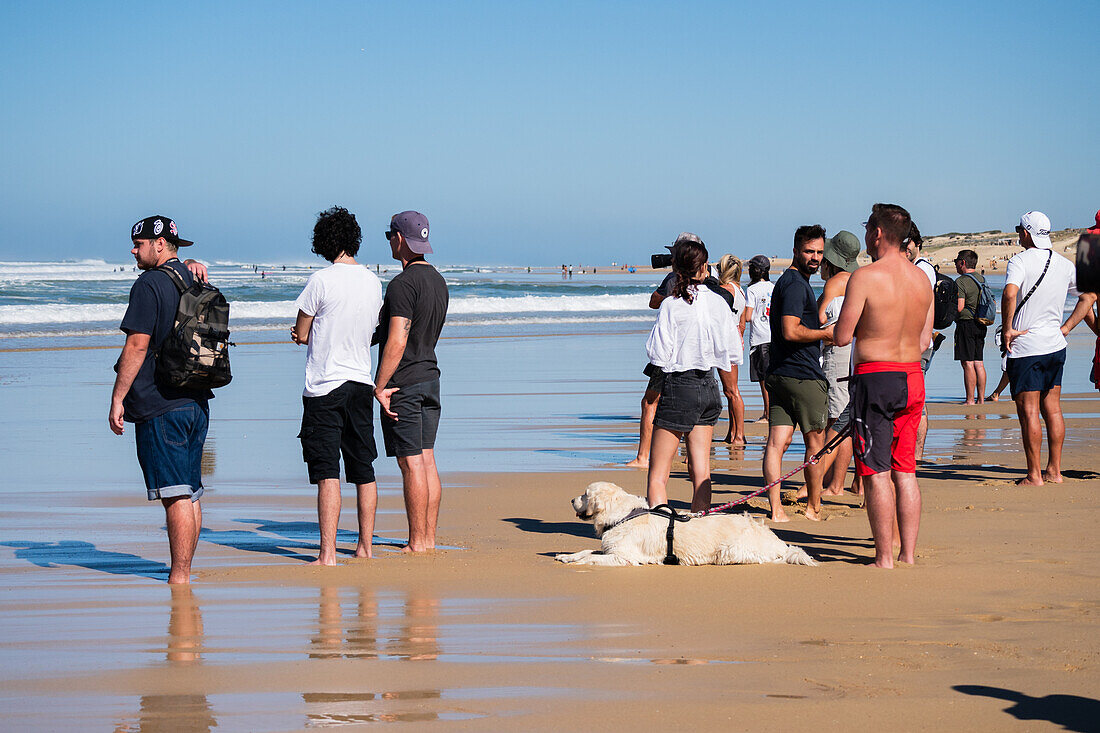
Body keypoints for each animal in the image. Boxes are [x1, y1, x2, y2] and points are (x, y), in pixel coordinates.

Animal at [558, 479, 818, 563]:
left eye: (584, 494)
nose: (570, 499)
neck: (622, 516)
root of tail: (778, 542)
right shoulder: (610, 549)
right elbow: (586, 551)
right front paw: (566, 556)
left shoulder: (624, 558)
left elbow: (591, 558)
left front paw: (577, 562)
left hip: (730, 551)